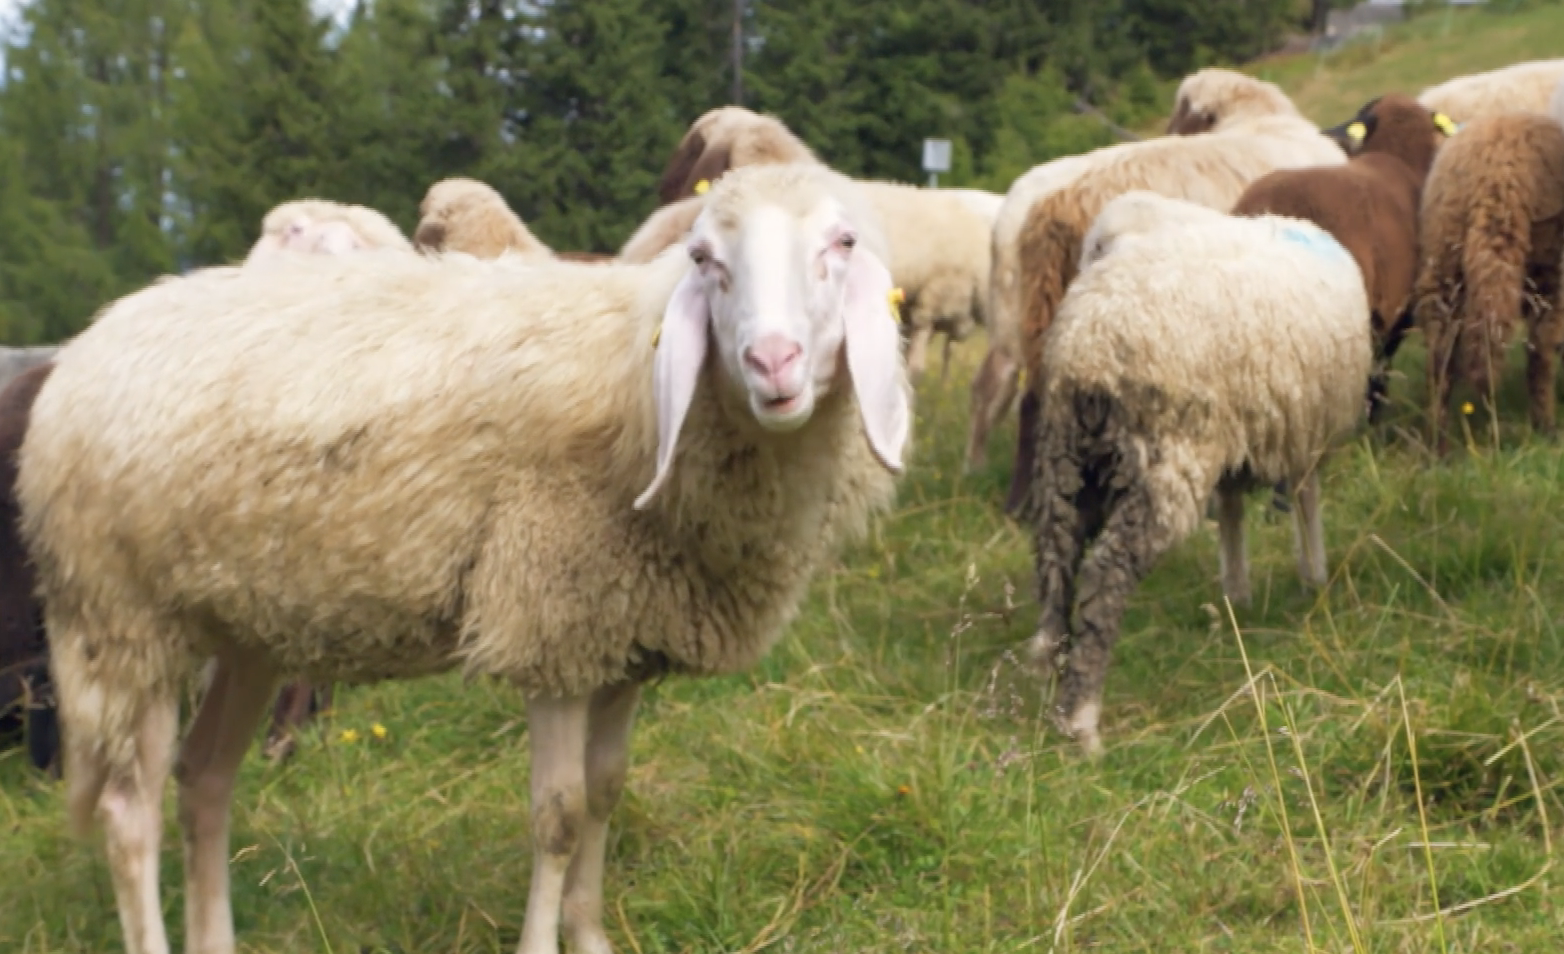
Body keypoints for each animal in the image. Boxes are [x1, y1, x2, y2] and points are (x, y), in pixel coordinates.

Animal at [1026, 192, 1371, 756]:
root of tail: (1092, 343)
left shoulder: (1241, 440)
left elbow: (1232, 515)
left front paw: (1237, 595)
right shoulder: (1304, 433)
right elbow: (1306, 502)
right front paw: (1314, 578)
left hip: (1064, 452)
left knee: (1056, 556)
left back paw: (1047, 664)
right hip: (1167, 453)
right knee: (1105, 573)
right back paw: (1082, 719)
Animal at [1412, 105, 1564, 452]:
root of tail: (1496, 174)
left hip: (1444, 264)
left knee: (1439, 359)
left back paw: (1437, 447)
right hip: (1546, 274)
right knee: (1540, 352)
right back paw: (1546, 428)